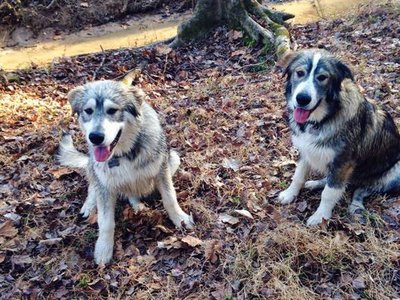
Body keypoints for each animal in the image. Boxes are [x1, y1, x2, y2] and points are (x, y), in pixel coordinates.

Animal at [276, 48, 400, 225]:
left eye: (322, 77)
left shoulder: (343, 163)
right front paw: (290, 194)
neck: (322, 119)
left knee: (361, 189)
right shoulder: (306, 151)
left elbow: (329, 193)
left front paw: (320, 216)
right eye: (299, 73)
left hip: (394, 171)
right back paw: (314, 183)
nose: (302, 99)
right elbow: (298, 176)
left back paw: (356, 206)